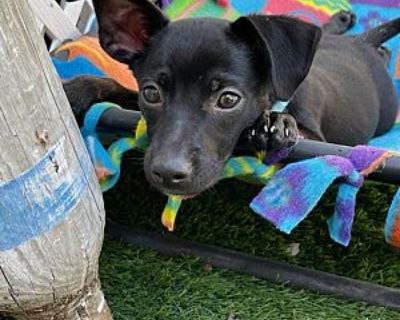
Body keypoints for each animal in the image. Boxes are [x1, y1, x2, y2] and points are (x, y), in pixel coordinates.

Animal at [64, 0, 398, 196]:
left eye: (228, 100)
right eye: (151, 93)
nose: (168, 174)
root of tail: (361, 45)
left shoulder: (319, 139)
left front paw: (276, 124)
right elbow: (118, 87)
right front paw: (78, 88)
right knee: (322, 30)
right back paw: (341, 20)